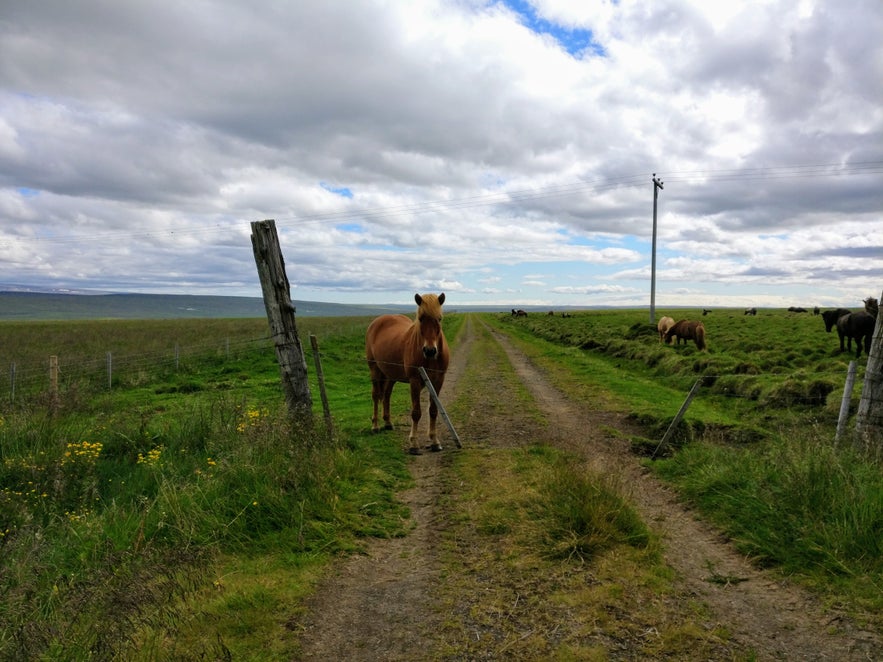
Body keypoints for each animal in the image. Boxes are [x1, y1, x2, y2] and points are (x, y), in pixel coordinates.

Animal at [366, 296, 448, 456]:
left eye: (439, 318)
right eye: (421, 319)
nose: (430, 350)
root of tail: (377, 322)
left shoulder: (438, 381)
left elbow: (434, 411)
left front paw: (435, 442)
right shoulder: (415, 381)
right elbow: (416, 412)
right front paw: (414, 444)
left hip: (390, 375)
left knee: (386, 395)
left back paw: (388, 423)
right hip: (375, 370)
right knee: (376, 395)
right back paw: (375, 426)